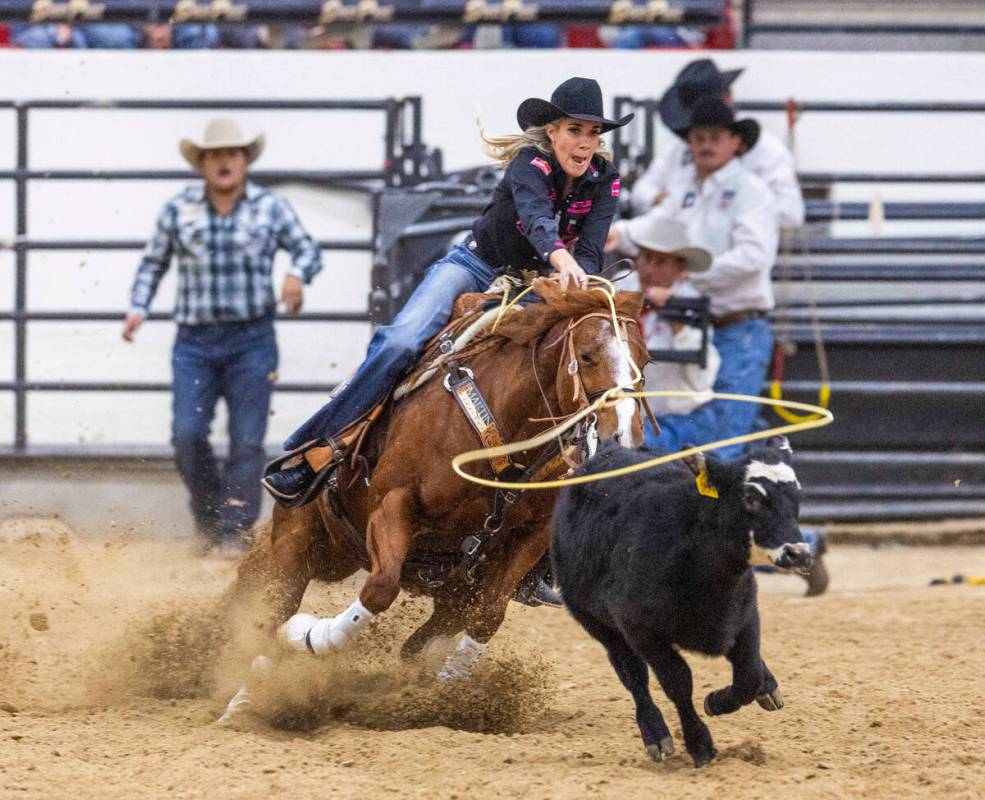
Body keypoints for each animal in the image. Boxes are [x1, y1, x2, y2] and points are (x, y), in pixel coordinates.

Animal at [218, 282, 644, 720]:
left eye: (644, 358)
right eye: (587, 355)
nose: (623, 435)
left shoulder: (529, 538)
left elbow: (486, 616)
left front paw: (449, 692)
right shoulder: (392, 505)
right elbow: (379, 589)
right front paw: (310, 635)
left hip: (353, 557)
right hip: (298, 537)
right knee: (274, 606)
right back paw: (246, 697)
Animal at [548, 438, 812, 768]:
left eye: (797, 495)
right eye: (751, 497)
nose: (799, 553)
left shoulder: (745, 615)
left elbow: (748, 674)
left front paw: (718, 701)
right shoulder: (641, 631)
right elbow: (678, 683)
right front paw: (700, 743)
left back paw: (768, 685)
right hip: (598, 625)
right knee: (633, 676)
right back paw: (655, 734)